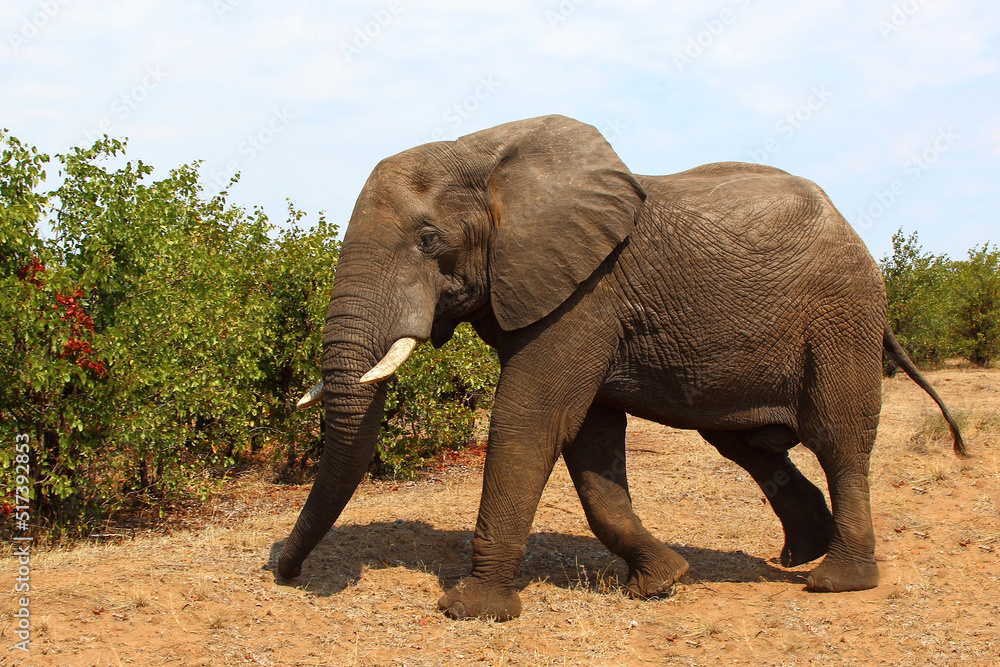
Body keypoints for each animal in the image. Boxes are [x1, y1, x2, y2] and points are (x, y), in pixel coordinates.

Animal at [277, 114, 966, 621]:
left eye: (428, 240)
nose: (284, 570)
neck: (485, 152)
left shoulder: (586, 294)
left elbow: (531, 423)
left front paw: (472, 610)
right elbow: (589, 442)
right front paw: (661, 582)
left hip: (841, 316)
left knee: (838, 437)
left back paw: (834, 580)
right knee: (749, 445)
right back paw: (799, 554)